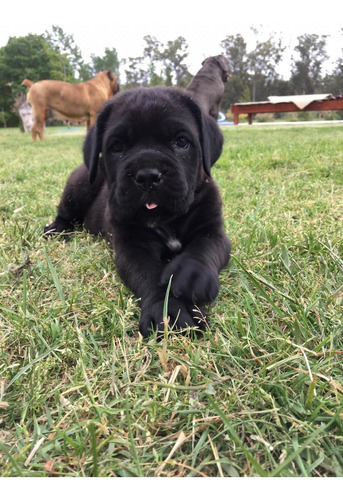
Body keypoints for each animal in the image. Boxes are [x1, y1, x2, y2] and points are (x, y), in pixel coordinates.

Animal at [43, 86, 231, 338]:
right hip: (80, 183)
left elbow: (204, 247)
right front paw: (170, 310)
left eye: (181, 142)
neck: (166, 221)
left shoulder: (213, 231)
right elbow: (148, 274)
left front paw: (191, 274)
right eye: (117, 147)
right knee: (65, 211)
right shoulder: (132, 246)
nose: (148, 175)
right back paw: (57, 229)